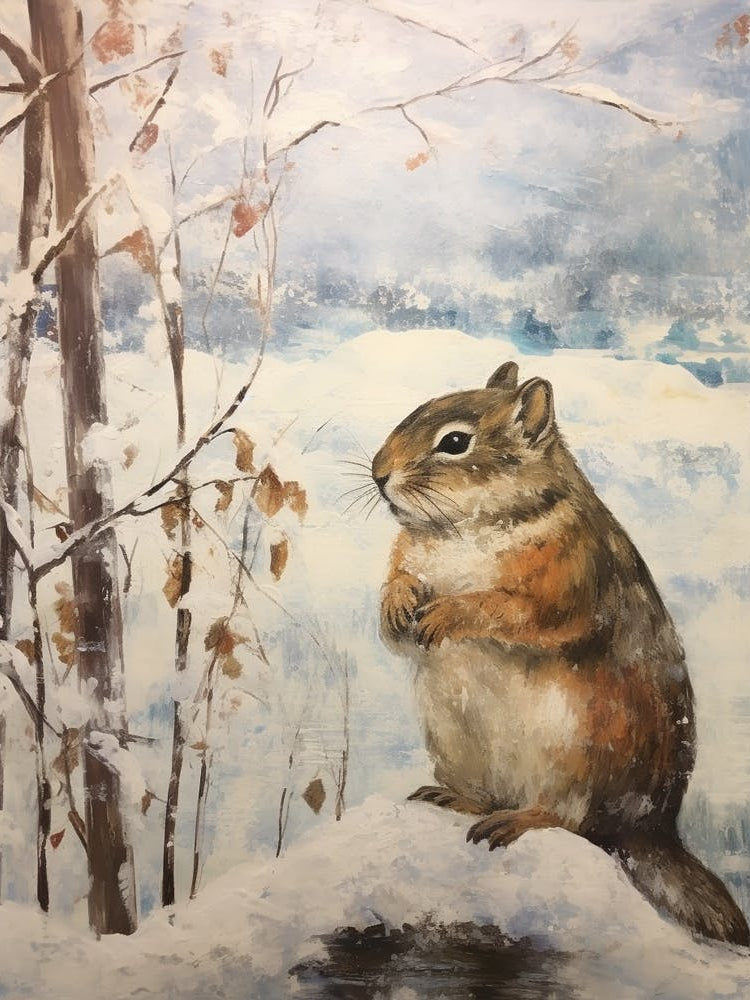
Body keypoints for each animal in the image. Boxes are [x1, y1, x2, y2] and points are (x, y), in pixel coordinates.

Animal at [371, 360, 749, 947]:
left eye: (454, 442)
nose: (377, 472)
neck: (466, 528)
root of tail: (649, 830)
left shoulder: (567, 582)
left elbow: (517, 613)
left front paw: (449, 613)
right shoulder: (407, 558)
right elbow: (397, 598)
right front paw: (399, 603)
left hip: (577, 755)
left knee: (571, 820)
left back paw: (517, 821)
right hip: (457, 744)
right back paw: (455, 800)